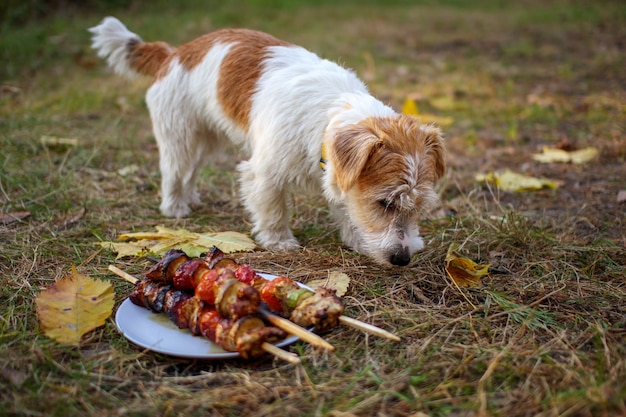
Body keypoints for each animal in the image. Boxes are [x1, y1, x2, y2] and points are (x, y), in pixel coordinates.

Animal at [91, 17, 444, 266]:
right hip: (180, 137)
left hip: (207, 141)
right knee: (174, 172)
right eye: (384, 203)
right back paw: (175, 206)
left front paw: (356, 240)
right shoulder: (264, 173)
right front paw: (278, 242)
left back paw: (190, 199)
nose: (402, 259)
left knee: (190, 172)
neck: (331, 111)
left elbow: (346, 209)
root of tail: (174, 53)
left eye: (418, 207)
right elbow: (273, 208)